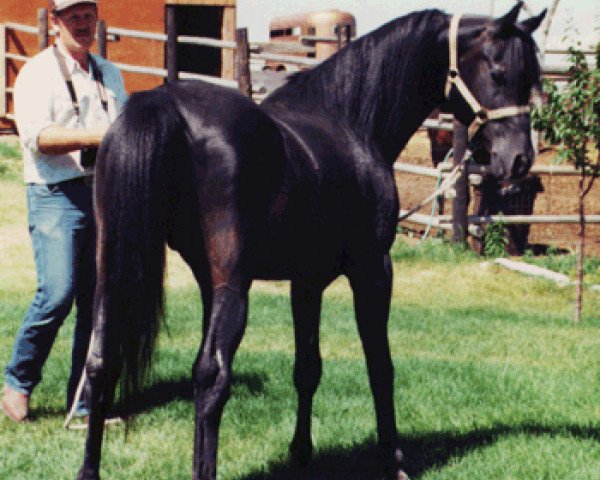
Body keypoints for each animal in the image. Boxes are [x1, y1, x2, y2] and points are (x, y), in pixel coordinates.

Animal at [77, 4, 548, 480]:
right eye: (499, 71)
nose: (519, 159)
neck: (350, 121)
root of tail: (164, 105)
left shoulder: (306, 282)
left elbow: (307, 368)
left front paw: (301, 453)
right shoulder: (373, 269)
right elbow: (380, 365)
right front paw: (393, 459)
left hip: (119, 274)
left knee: (100, 364)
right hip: (232, 286)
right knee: (211, 375)